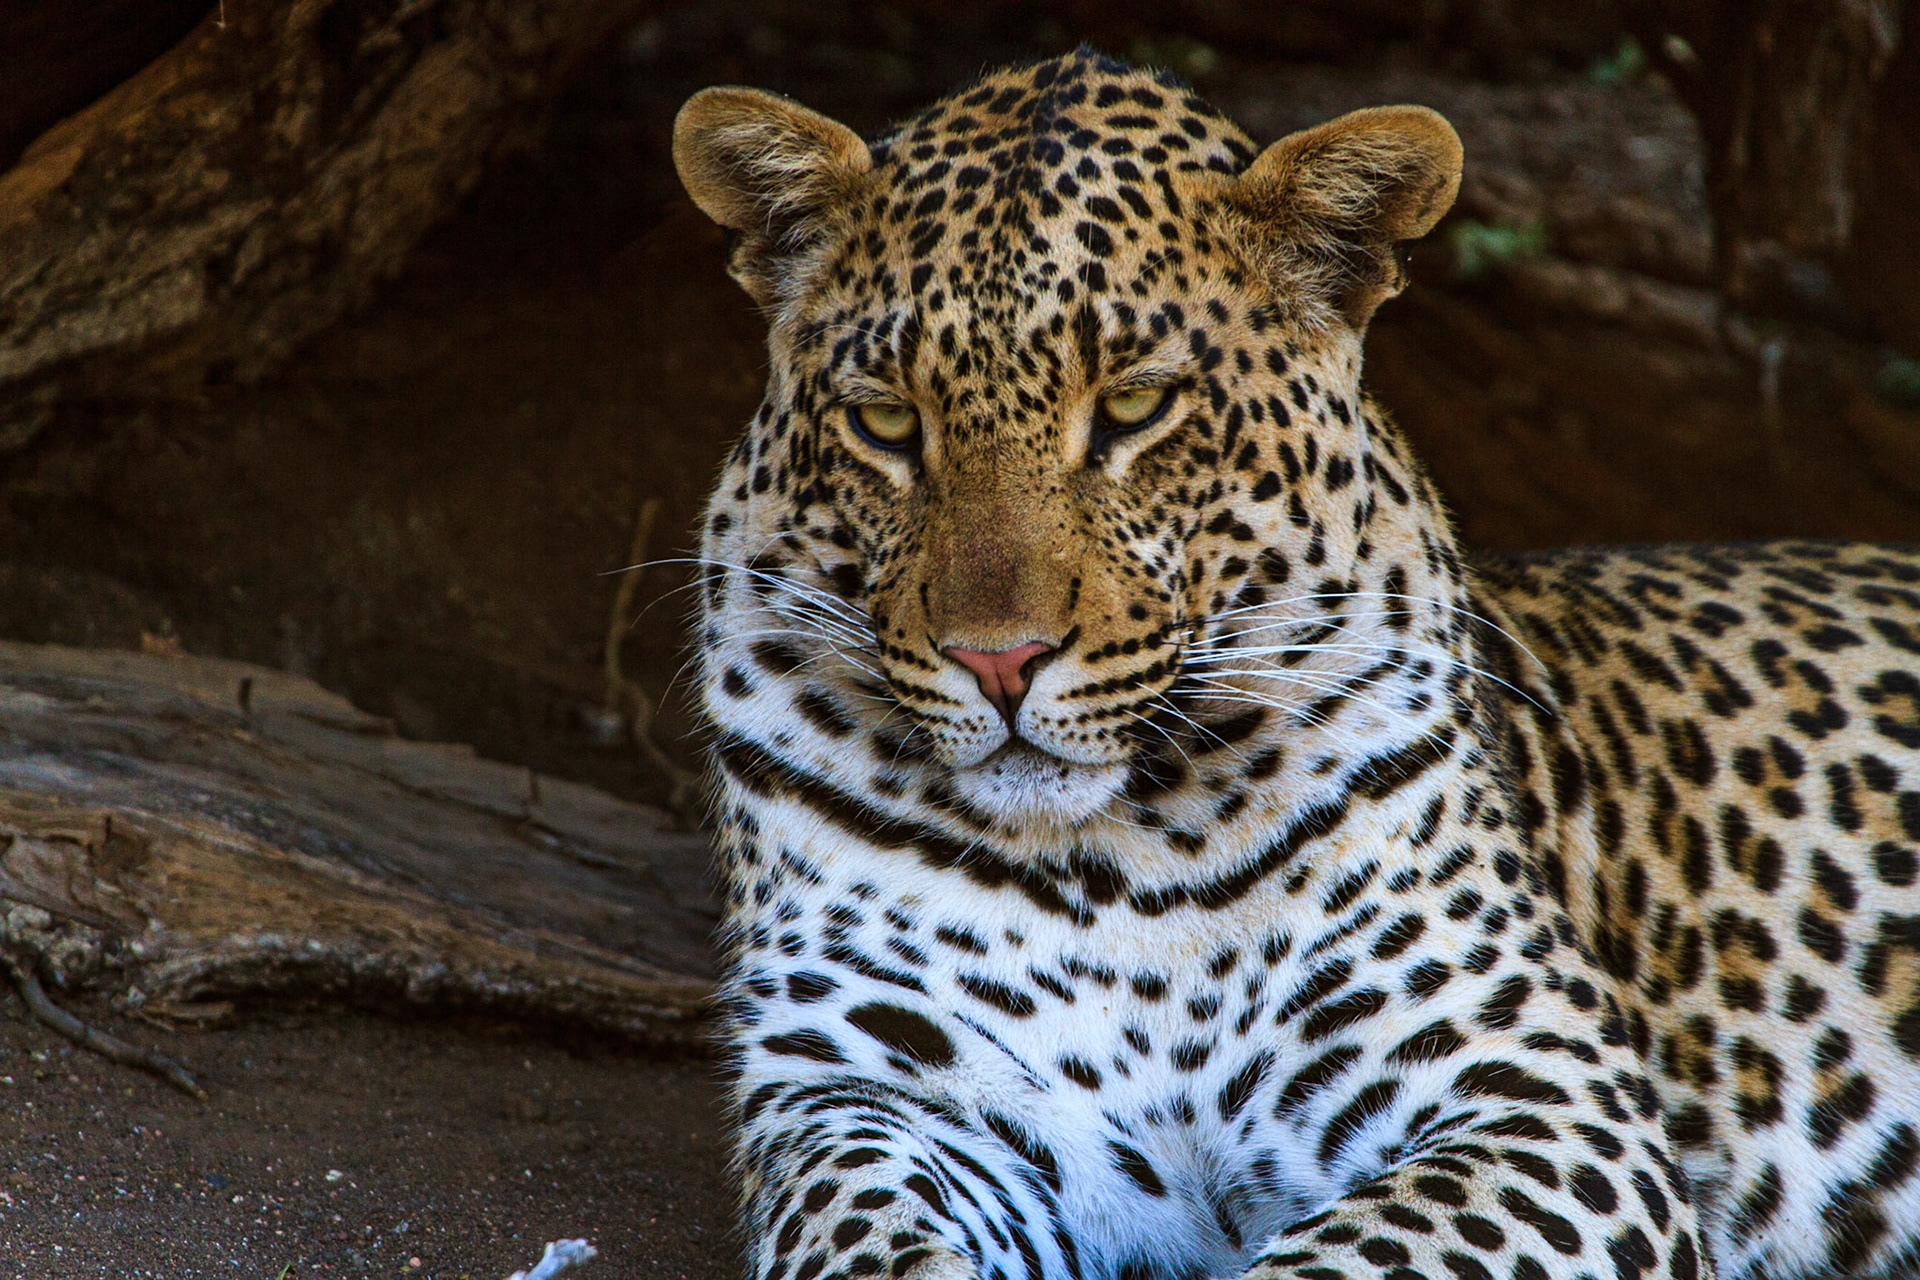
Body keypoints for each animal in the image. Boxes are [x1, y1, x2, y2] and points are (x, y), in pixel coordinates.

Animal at [670, 48, 1920, 1280]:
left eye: (1134, 406)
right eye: (886, 421)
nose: (1001, 661)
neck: (1119, 857)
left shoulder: (1544, 1097)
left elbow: (1353, 1252)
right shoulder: (866, 1090)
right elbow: (860, 1227)